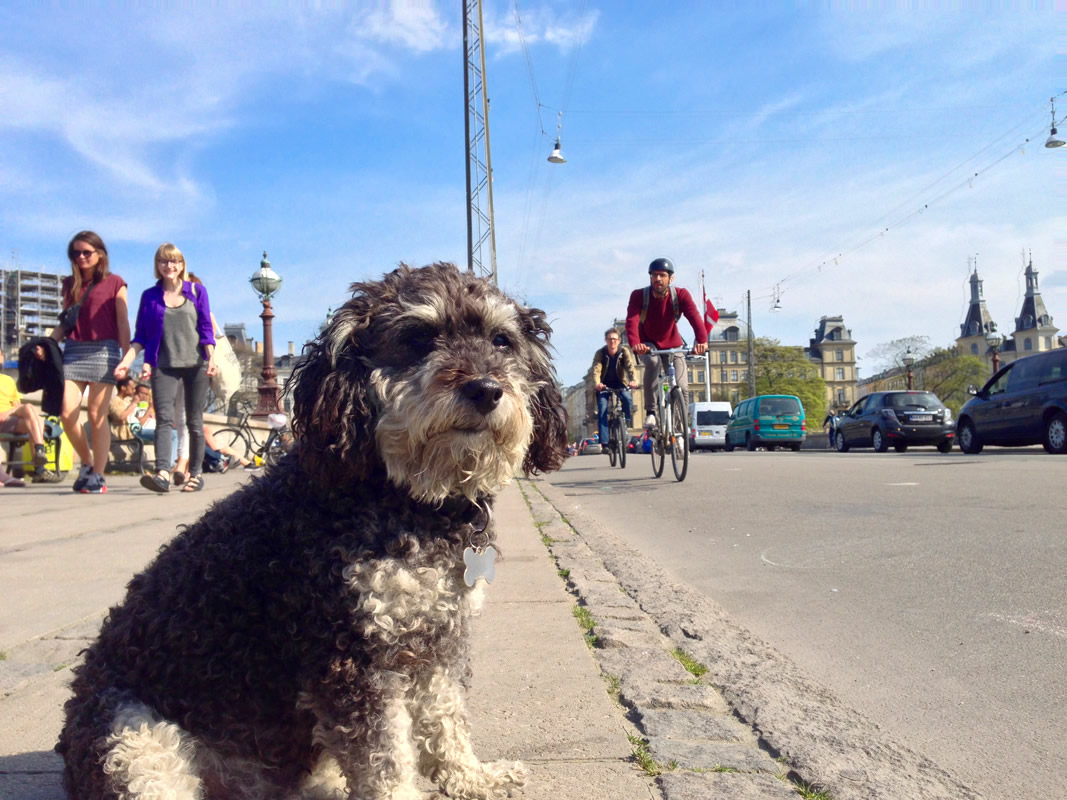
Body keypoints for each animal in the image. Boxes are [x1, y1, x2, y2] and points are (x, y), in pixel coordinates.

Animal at [57, 262, 569, 799]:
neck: (411, 503)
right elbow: (384, 754)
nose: (486, 389)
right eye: (417, 338)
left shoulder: (439, 637)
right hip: (131, 738)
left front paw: (469, 776)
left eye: (501, 340)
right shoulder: (349, 655)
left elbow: (444, 714)